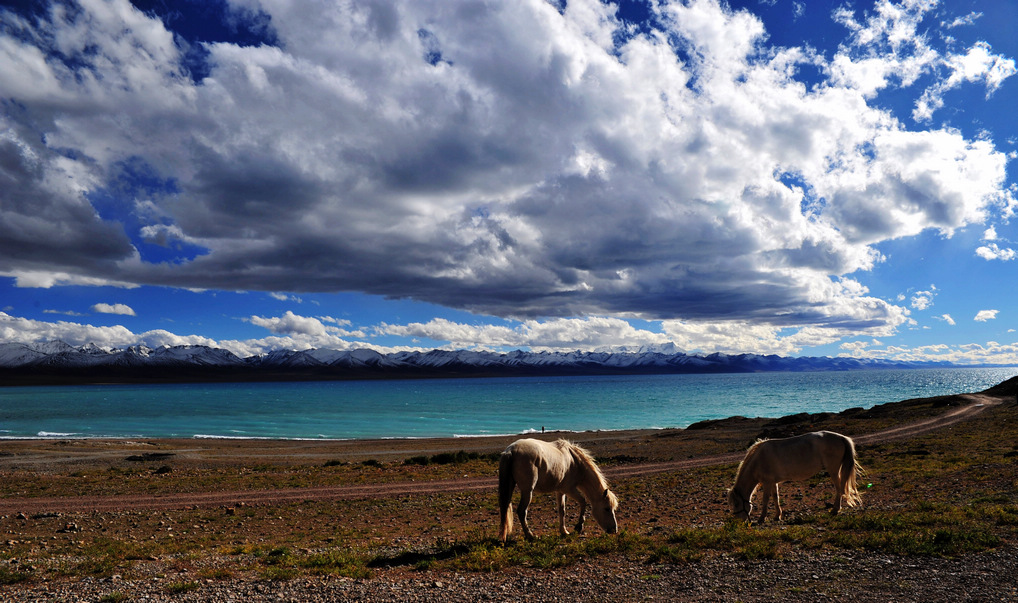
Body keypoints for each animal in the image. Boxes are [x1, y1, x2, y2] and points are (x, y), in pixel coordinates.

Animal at [728, 427, 863, 521]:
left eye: (736, 503)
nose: (738, 522)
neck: (759, 459)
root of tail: (841, 437)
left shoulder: (767, 482)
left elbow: (765, 499)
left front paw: (762, 518)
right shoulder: (773, 482)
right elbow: (775, 497)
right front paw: (777, 516)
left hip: (833, 470)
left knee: (839, 488)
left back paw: (835, 510)